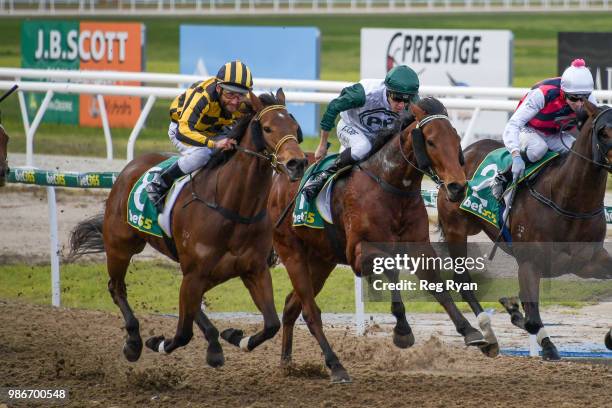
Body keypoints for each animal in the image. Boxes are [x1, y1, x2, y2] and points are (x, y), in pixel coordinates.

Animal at [70, 91, 308, 366]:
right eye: (268, 128)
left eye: (295, 128)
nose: (297, 163)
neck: (232, 206)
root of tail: (129, 168)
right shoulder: (195, 272)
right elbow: (183, 333)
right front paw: (158, 343)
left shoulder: (253, 269)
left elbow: (271, 324)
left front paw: (235, 337)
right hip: (121, 246)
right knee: (116, 287)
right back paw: (134, 342)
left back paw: (213, 341)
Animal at [270, 97, 490, 384]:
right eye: (430, 141)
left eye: (456, 139)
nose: (457, 187)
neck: (391, 185)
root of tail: (280, 177)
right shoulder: (358, 253)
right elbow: (392, 267)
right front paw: (403, 331)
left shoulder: (419, 245)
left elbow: (435, 283)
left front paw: (470, 331)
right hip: (291, 251)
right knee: (310, 311)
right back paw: (336, 366)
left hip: (320, 260)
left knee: (290, 305)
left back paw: (287, 364)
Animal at [438, 99, 612, 360]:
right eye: (603, 132)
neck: (566, 200)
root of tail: (467, 150)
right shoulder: (530, 263)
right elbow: (531, 318)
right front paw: (545, 343)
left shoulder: (587, 262)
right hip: (456, 229)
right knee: (462, 281)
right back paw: (485, 336)